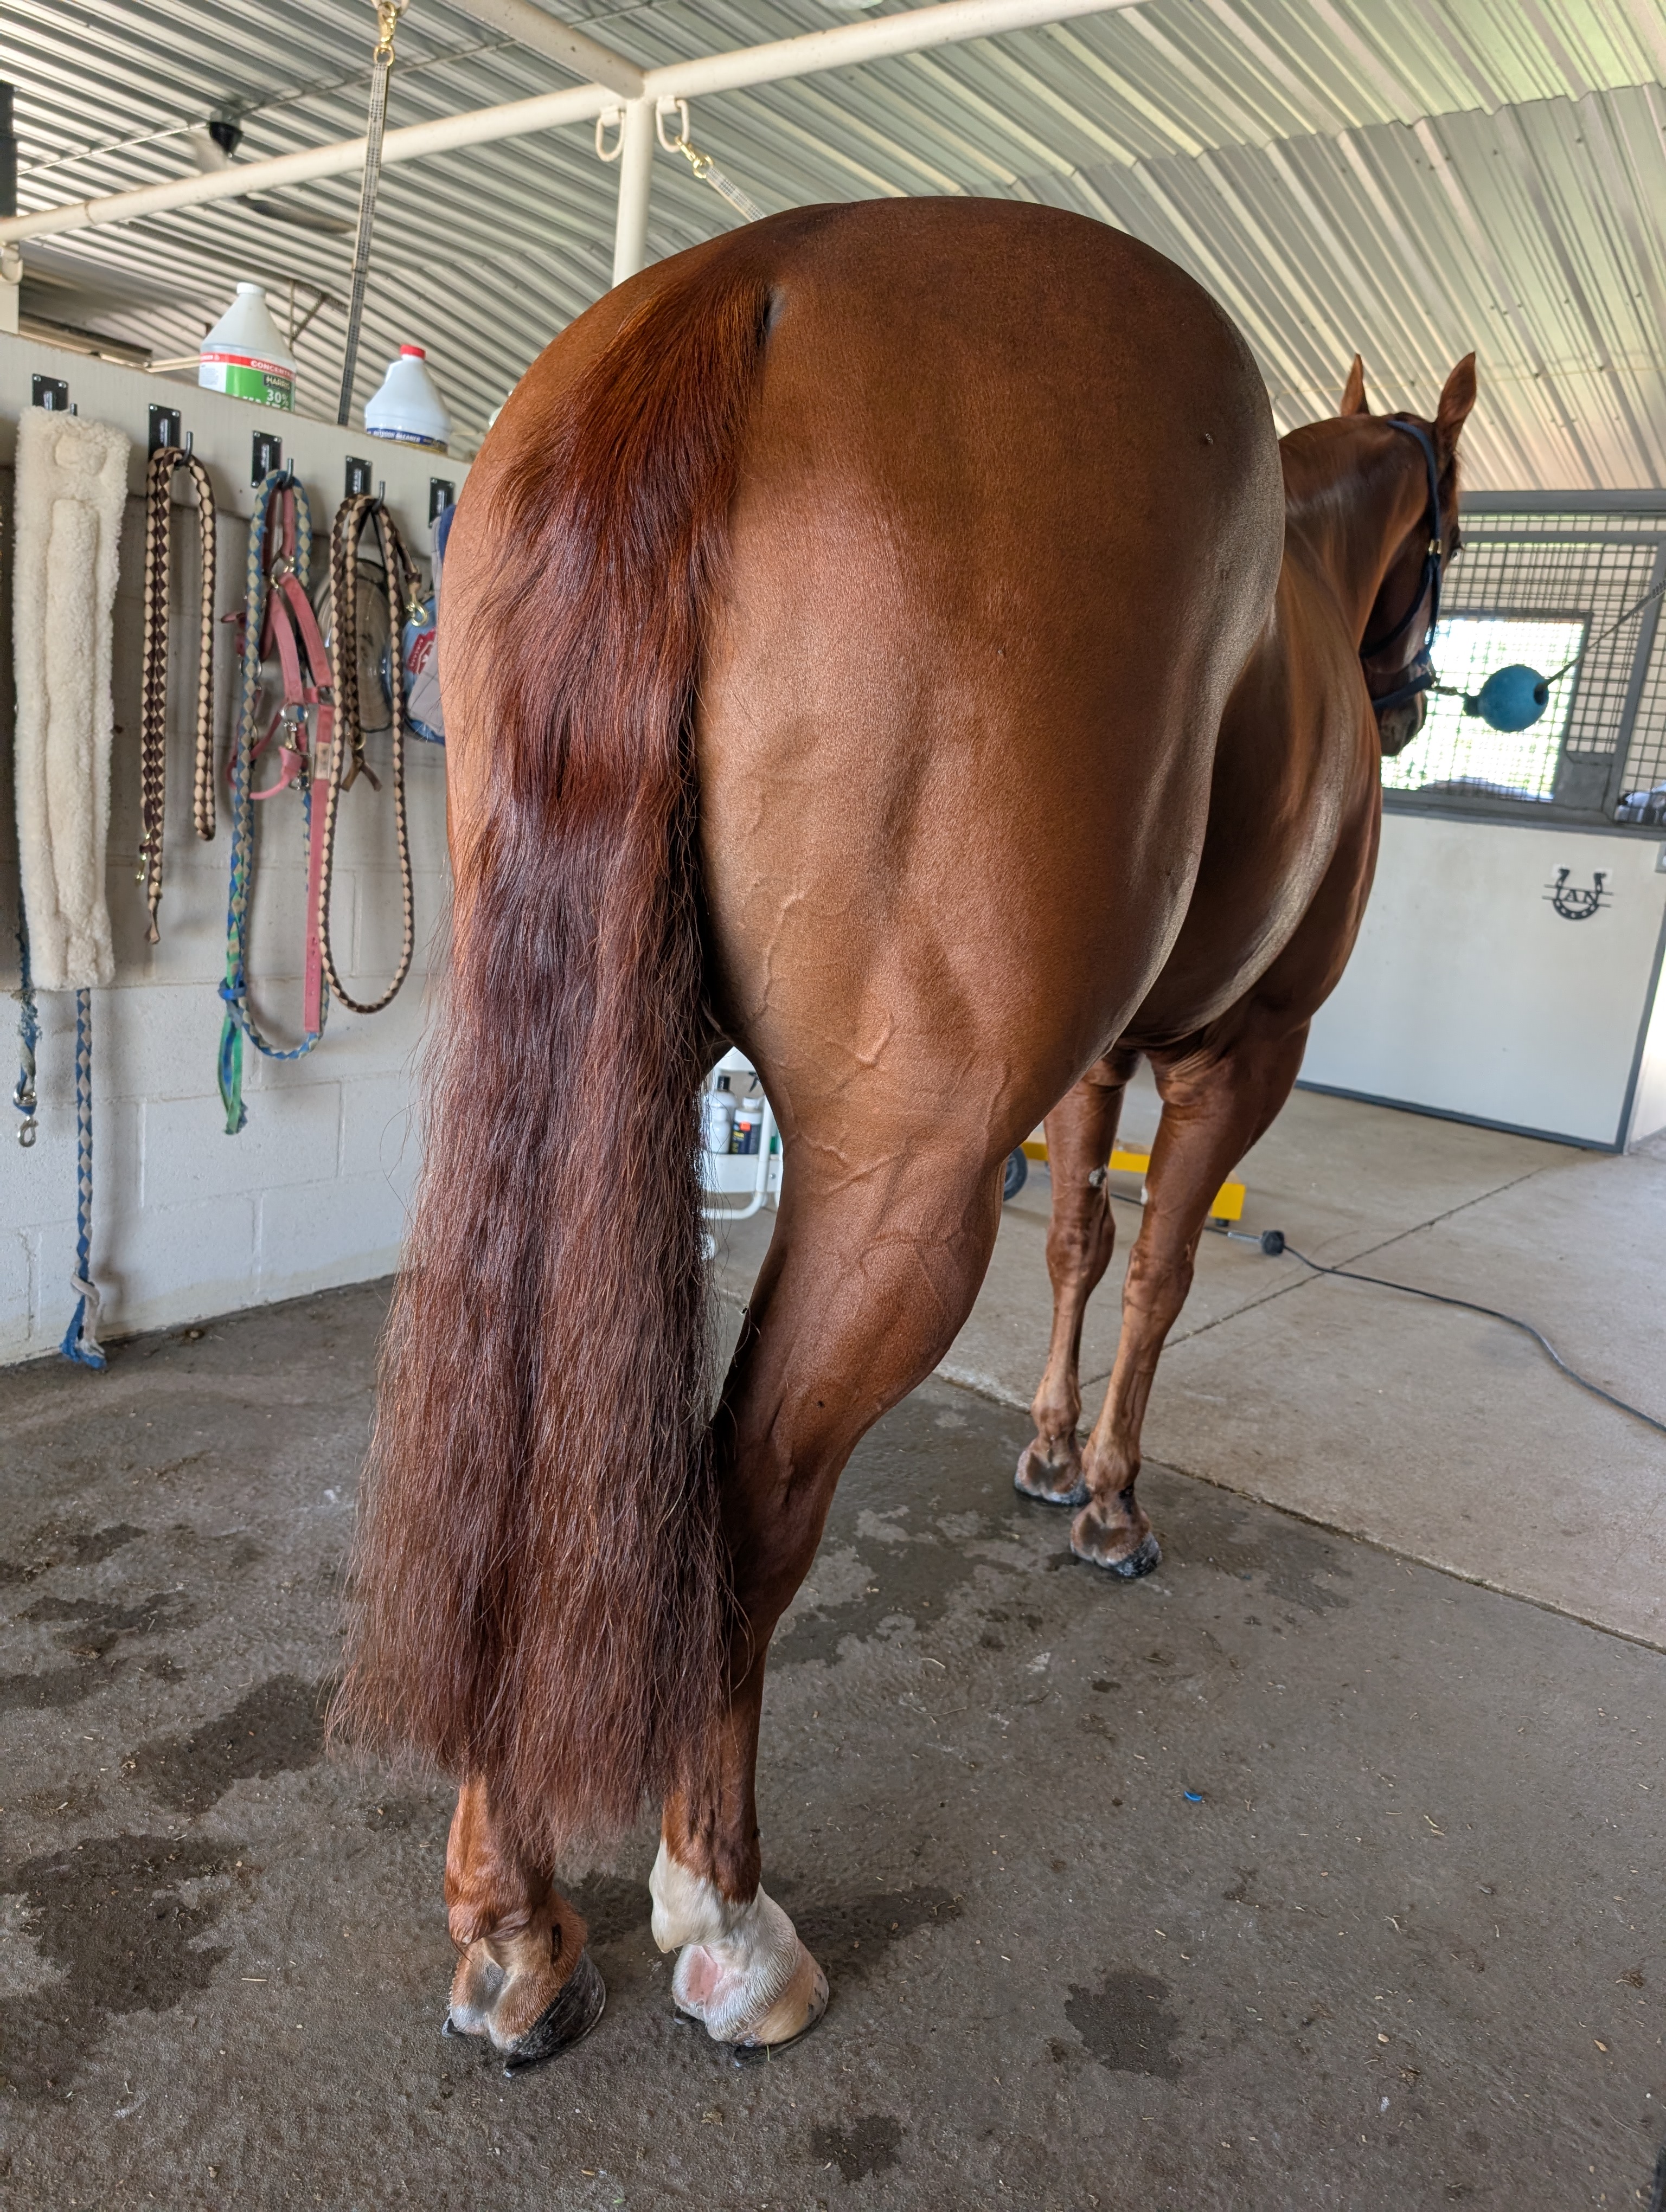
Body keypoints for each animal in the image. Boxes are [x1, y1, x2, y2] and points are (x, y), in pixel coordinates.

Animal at [336, 196, 1474, 2072]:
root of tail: (752, 277)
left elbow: (1078, 1240)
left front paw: (1047, 1453)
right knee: (740, 1498)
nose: (1409, 694)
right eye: (1445, 537)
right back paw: (724, 1917)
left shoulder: (1099, 1069)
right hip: (901, 1180)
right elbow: (1157, 1278)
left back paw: (514, 1928)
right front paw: (1108, 1501)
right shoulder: (1241, 1054)